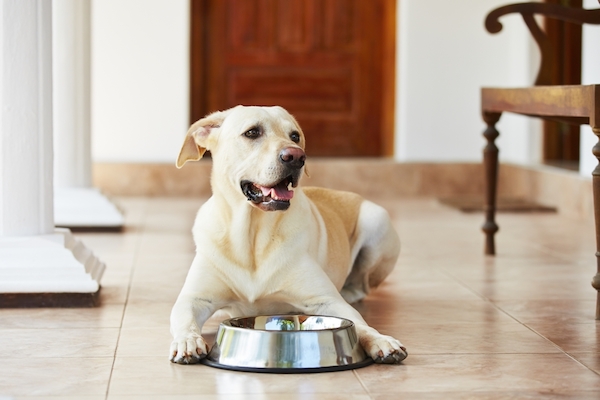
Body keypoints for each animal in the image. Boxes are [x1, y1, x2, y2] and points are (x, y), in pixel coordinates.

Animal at [168, 104, 408, 364]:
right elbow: (184, 319)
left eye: (295, 136)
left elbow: (359, 324)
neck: (252, 236)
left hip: (377, 222)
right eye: (252, 132)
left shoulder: (327, 300)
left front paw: (381, 340)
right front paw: (188, 341)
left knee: (361, 286)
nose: (296, 157)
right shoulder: (194, 298)